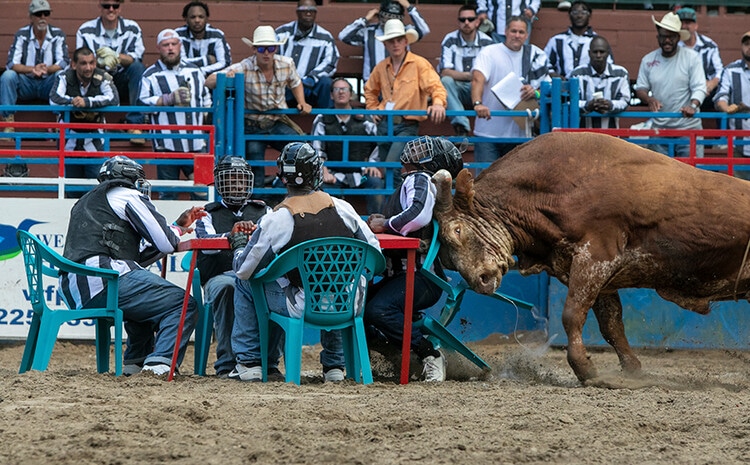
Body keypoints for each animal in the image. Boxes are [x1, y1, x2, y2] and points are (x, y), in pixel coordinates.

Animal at [432, 130, 750, 380]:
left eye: (458, 230)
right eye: (445, 257)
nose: (481, 280)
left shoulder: (595, 258)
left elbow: (573, 314)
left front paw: (585, 369)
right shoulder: (600, 277)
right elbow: (611, 326)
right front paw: (633, 371)